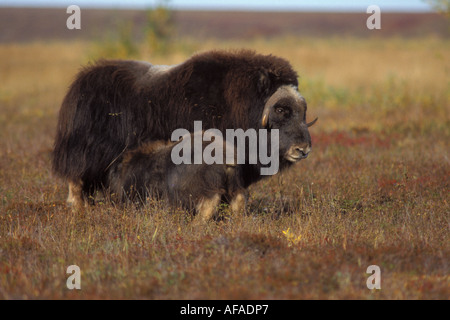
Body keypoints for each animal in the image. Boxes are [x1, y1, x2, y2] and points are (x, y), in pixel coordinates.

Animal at [52, 49, 316, 210]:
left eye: (303, 109)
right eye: (281, 109)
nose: (303, 150)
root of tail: (77, 84)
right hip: (85, 154)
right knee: (76, 182)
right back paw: (79, 209)